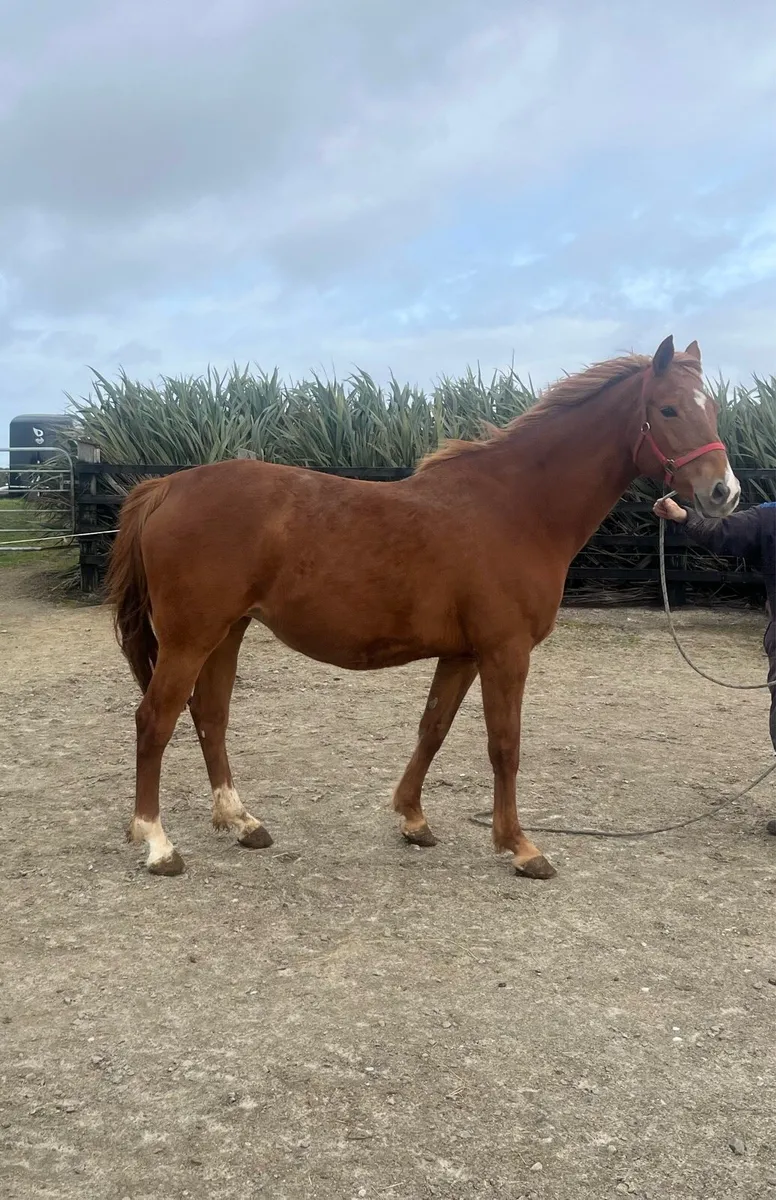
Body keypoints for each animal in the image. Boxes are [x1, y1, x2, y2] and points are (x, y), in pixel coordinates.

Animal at [105, 335, 739, 880]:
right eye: (669, 409)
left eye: (711, 408)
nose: (724, 493)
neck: (518, 507)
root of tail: (167, 487)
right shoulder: (505, 652)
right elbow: (505, 746)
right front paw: (520, 847)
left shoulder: (463, 654)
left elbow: (433, 728)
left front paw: (412, 819)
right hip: (191, 638)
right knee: (155, 720)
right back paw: (158, 843)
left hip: (227, 632)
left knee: (210, 717)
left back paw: (241, 822)